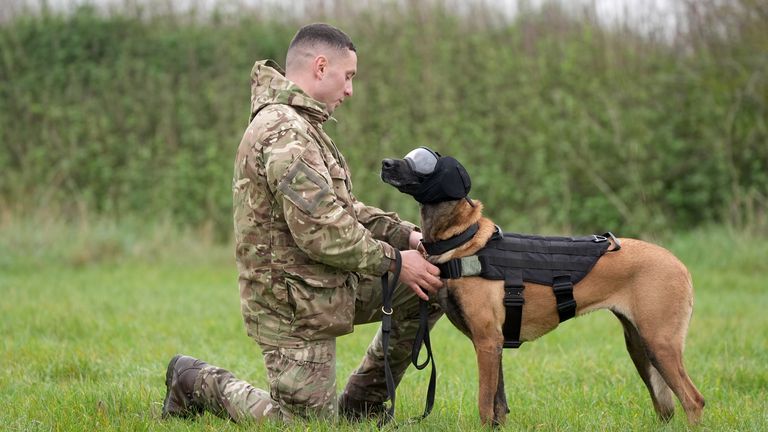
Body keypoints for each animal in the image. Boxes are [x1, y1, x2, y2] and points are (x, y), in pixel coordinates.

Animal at [380, 148, 704, 426]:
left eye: (422, 161)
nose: (385, 163)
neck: (463, 240)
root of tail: (679, 264)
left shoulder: (487, 342)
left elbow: (485, 405)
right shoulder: (494, 345)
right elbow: (498, 406)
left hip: (659, 344)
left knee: (693, 400)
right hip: (640, 347)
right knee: (666, 405)